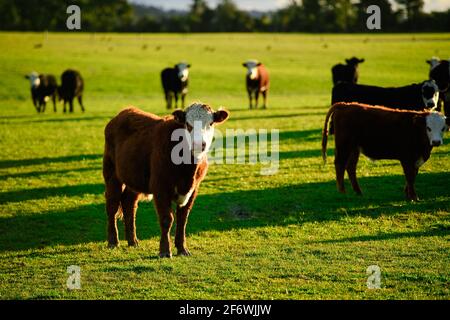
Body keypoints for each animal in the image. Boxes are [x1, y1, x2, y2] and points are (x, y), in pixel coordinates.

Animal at [102, 102, 229, 258]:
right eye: (188, 124)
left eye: (210, 123)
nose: (199, 144)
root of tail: (124, 112)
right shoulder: (160, 187)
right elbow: (167, 219)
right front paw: (164, 251)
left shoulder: (194, 189)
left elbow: (183, 219)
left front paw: (182, 249)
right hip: (112, 174)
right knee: (112, 205)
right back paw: (113, 241)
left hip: (134, 178)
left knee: (129, 204)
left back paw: (133, 241)